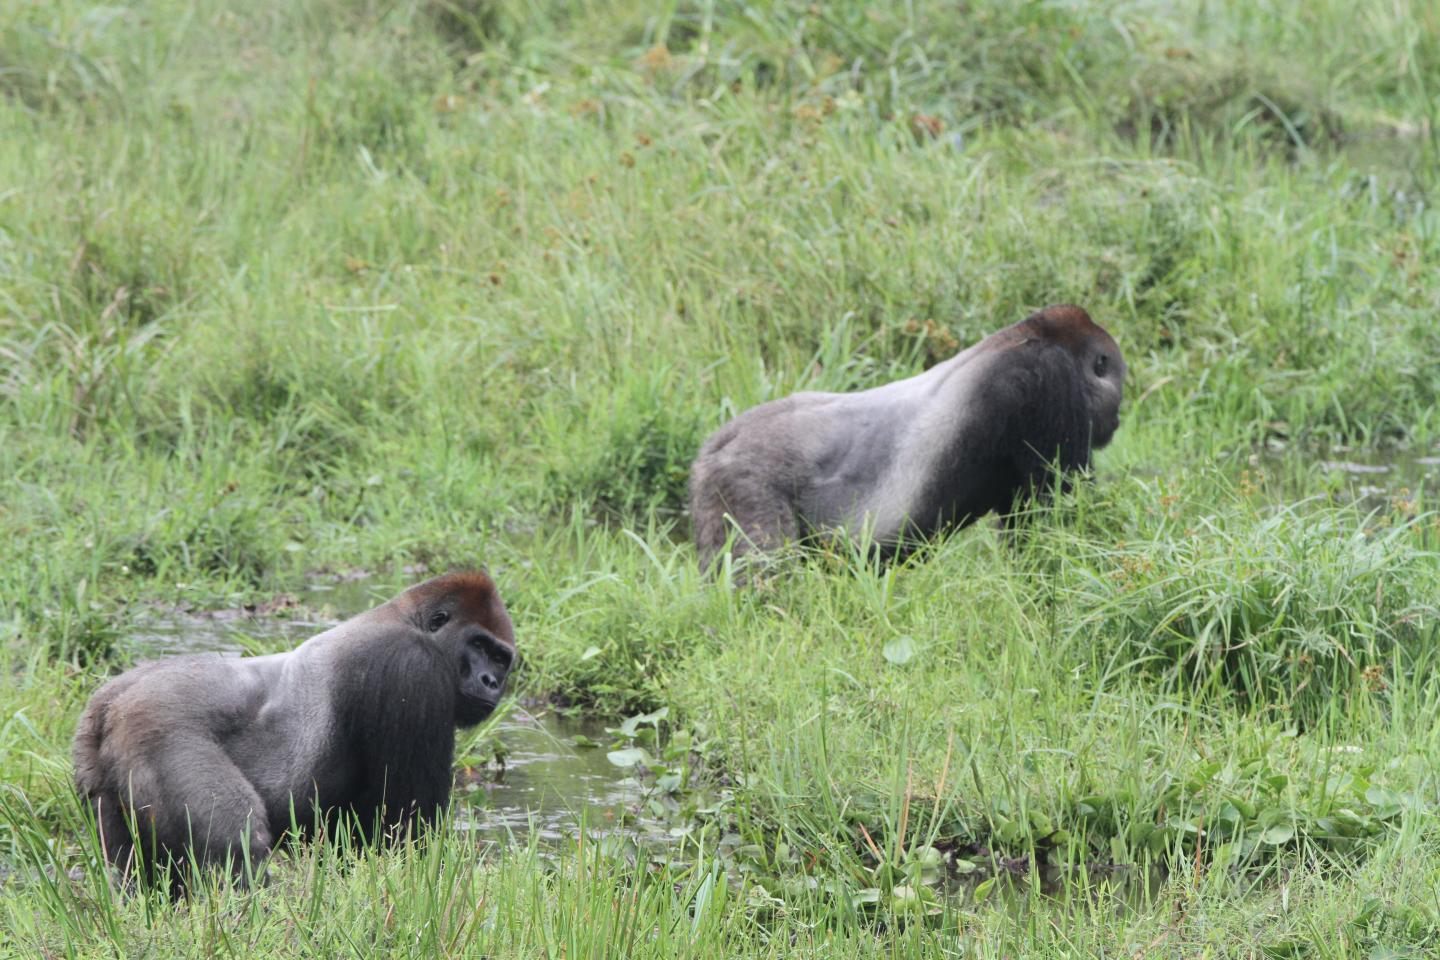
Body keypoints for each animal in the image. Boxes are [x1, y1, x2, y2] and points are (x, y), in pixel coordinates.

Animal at [71, 569, 518, 892]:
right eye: (478, 645)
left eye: (501, 658)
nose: (491, 681)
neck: (406, 618)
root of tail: (112, 703)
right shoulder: (412, 669)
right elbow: (408, 833)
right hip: (159, 728)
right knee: (238, 848)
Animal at [691, 303, 1128, 567]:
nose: (1118, 420)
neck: (1036, 334)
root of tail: (718, 446)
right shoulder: (1050, 381)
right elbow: (1059, 511)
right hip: (745, 478)